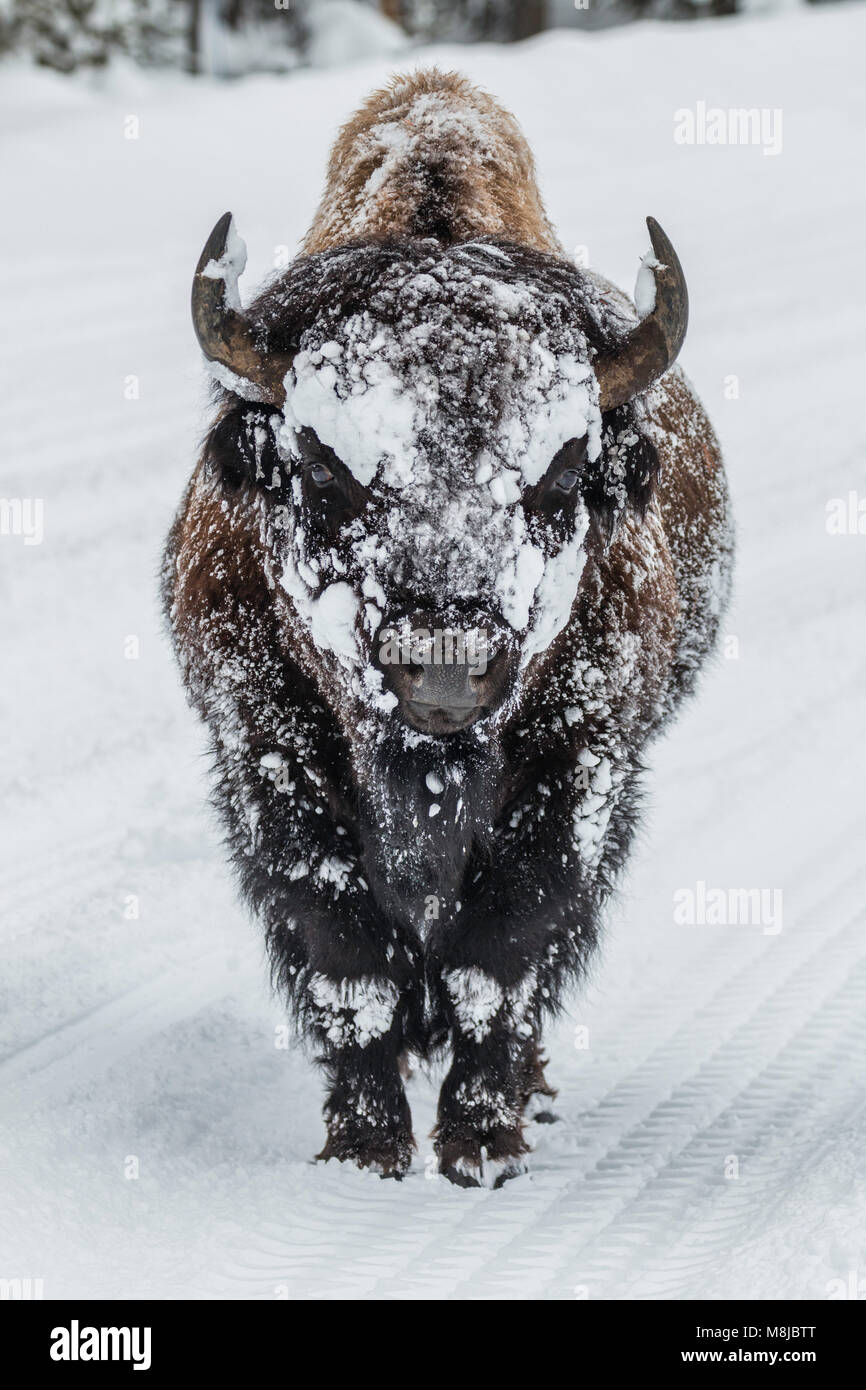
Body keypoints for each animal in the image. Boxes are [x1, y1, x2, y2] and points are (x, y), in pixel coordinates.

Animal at [162, 70, 733, 1187]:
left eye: (559, 472)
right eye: (325, 471)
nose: (441, 670)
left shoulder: (582, 765)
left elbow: (501, 952)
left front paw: (480, 1143)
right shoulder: (267, 757)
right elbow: (348, 963)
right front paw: (366, 1148)